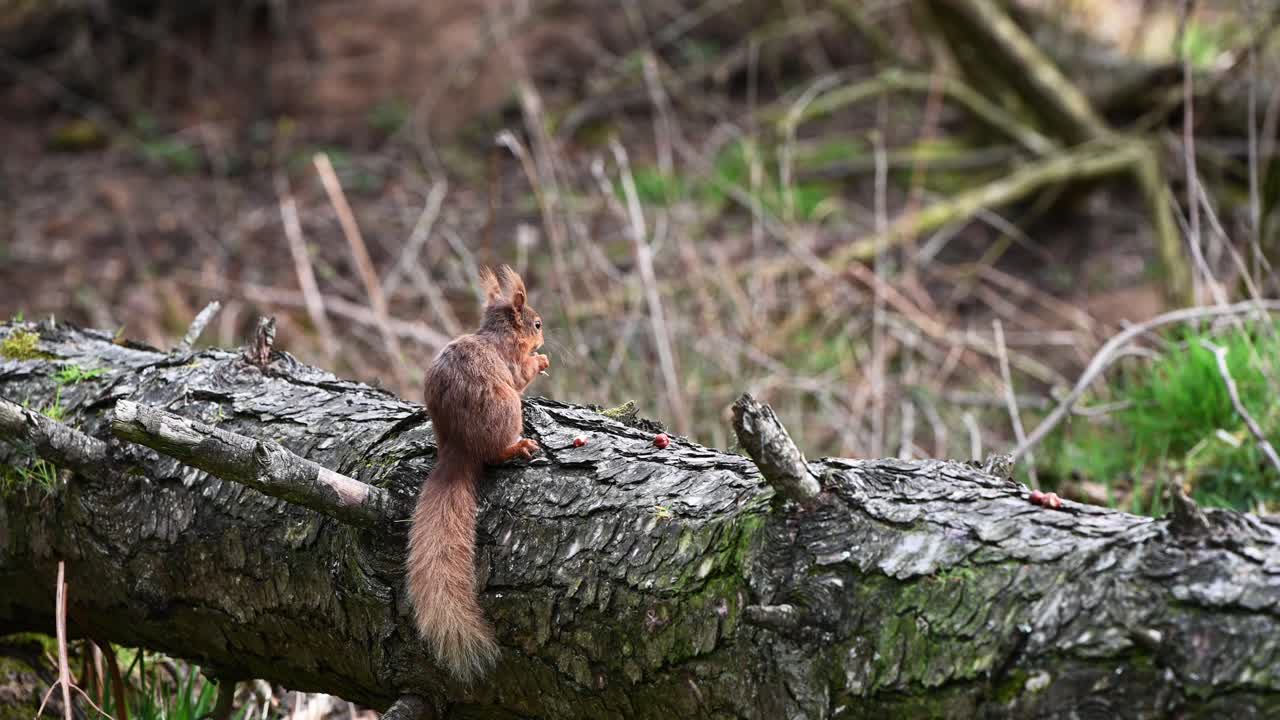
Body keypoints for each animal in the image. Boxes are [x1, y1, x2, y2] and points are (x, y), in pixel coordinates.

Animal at [407, 264, 549, 684]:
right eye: (536, 323)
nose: (543, 336)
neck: (498, 334)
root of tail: (458, 451)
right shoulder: (512, 361)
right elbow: (522, 372)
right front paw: (542, 360)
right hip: (507, 409)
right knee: (497, 451)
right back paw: (518, 447)